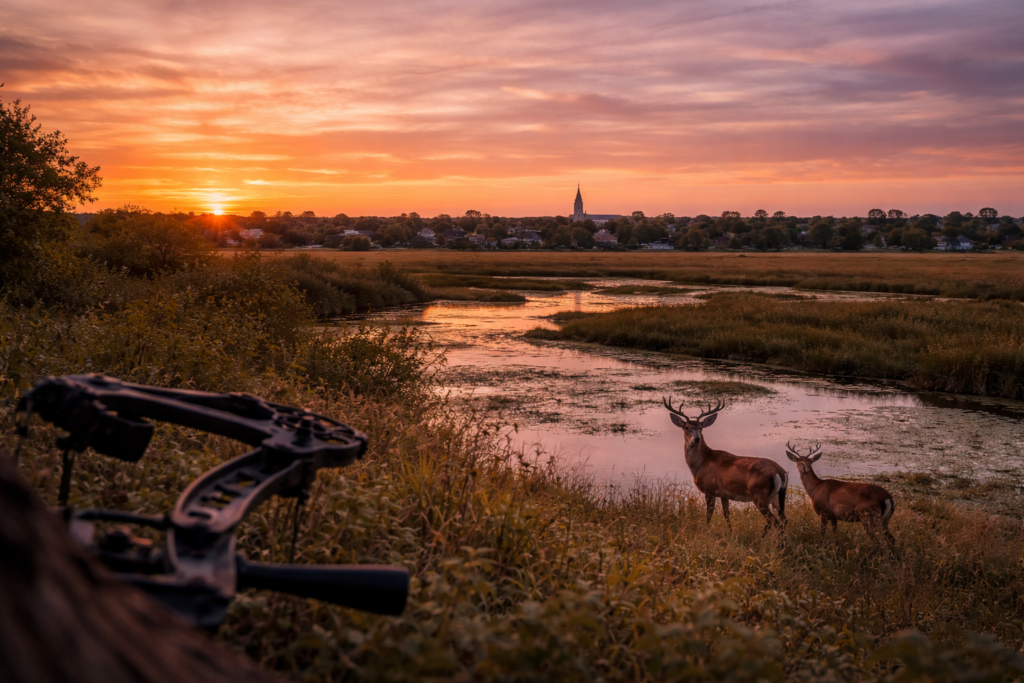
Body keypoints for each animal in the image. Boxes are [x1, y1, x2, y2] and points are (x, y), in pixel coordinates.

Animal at [663, 397, 788, 535]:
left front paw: (707, 532)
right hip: (775, 498)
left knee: (775, 521)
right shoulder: (724, 494)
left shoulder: (710, 489)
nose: (696, 439)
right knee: (783, 519)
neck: (701, 463)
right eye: (687, 427)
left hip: (760, 495)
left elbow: (709, 515)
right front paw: (731, 533)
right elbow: (726, 514)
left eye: (701, 428)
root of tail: (780, 472)